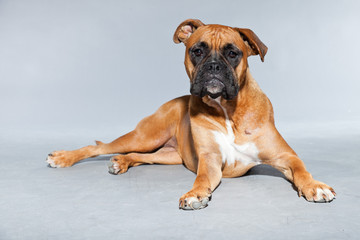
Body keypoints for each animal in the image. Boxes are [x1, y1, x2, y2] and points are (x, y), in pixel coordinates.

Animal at [46, 19, 336, 210]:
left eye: (233, 53)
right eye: (197, 50)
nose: (214, 66)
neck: (227, 111)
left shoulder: (285, 156)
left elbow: (301, 170)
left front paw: (315, 186)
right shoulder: (210, 162)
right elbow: (202, 179)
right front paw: (196, 193)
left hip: (168, 155)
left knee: (140, 157)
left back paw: (122, 162)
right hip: (146, 136)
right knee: (99, 146)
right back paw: (63, 158)